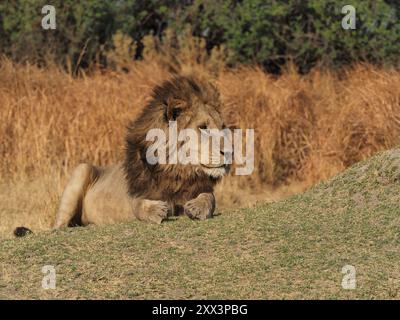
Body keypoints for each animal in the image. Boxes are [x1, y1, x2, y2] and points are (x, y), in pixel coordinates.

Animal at [14, 74, 230, 235]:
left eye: (222, 127)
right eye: (202, 127)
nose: (229, 152)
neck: (177, 169)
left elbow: (210, 197)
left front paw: (198, 208)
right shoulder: (136, 195)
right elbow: (137, 204)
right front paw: (155, 210)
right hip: (81, 171)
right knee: (58, 226)